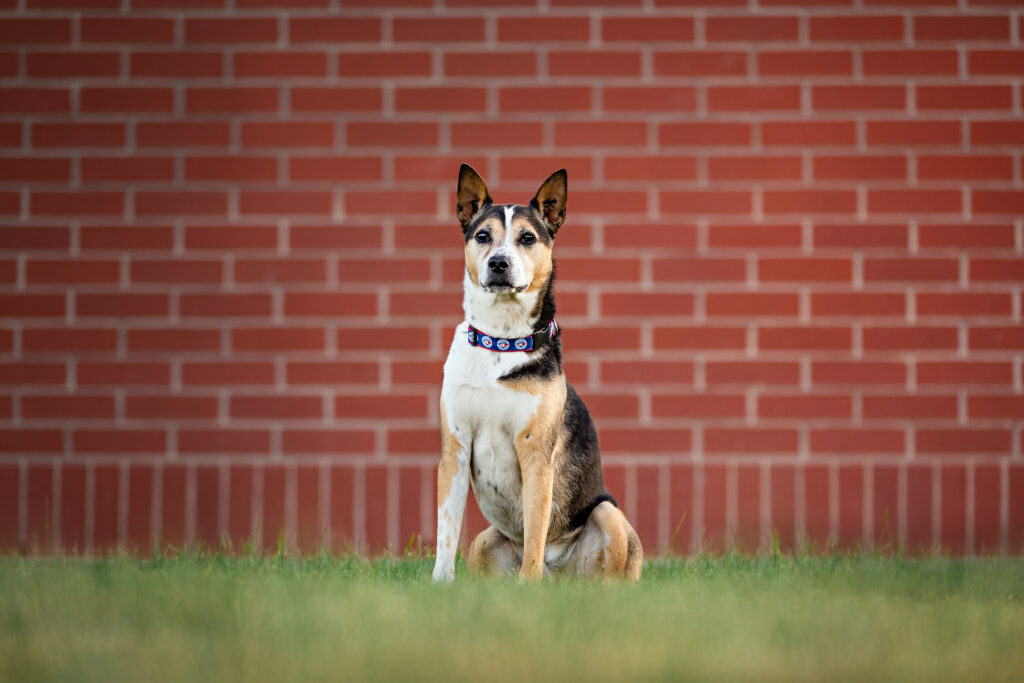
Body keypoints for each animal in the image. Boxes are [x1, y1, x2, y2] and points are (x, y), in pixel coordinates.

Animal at [430, 163, 638, 581]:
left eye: (527, 238)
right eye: (482, 236)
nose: (498, 263)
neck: (499, 341)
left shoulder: (536, 454)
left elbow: (536, 528)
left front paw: (529, 585)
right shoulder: (455, 449)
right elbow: (446, 531)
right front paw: (440, 584)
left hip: (608, 512)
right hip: (483, 541)